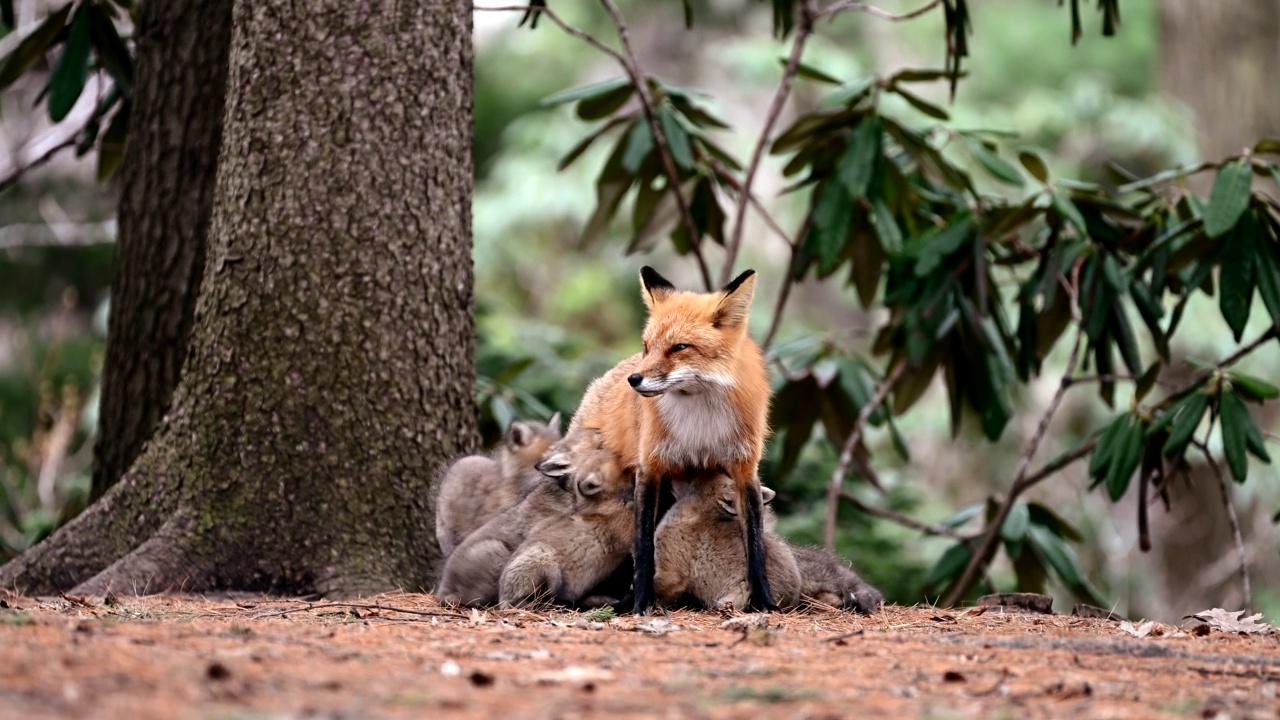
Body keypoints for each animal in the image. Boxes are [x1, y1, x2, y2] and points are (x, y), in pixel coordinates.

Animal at [568, 265, 768, 609]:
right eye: (647, 346)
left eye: (679, 347)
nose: (634, 379)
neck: (700, 422)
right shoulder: (651, 467)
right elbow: (644, 545)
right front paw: (639, 604)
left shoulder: (744, 469)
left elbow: (756, 544)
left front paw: (766, 602)